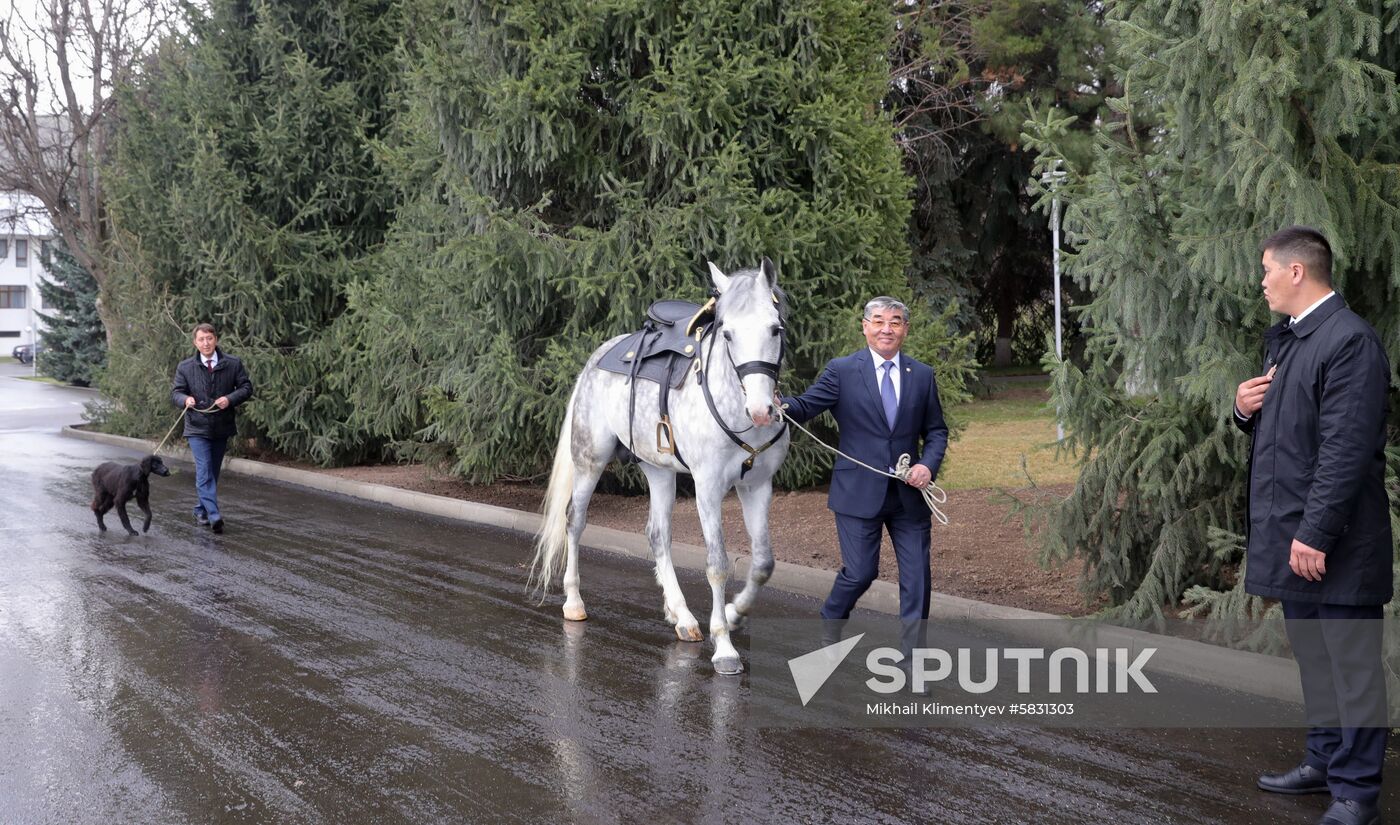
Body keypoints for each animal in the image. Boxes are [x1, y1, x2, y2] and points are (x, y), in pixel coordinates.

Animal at [526, 260, 789, 672]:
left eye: (775, 328)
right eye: (727, 333)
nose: (761, 410)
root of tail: (597, 357)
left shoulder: (758, 486)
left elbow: (763, 563)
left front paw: (733, 614)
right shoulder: (708, 487)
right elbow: (717, 564)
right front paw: (724, 646)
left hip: (659, 470)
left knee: (657, 534)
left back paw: (682, 617)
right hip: (589, 461)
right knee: (574, 521)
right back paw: (574, 602)